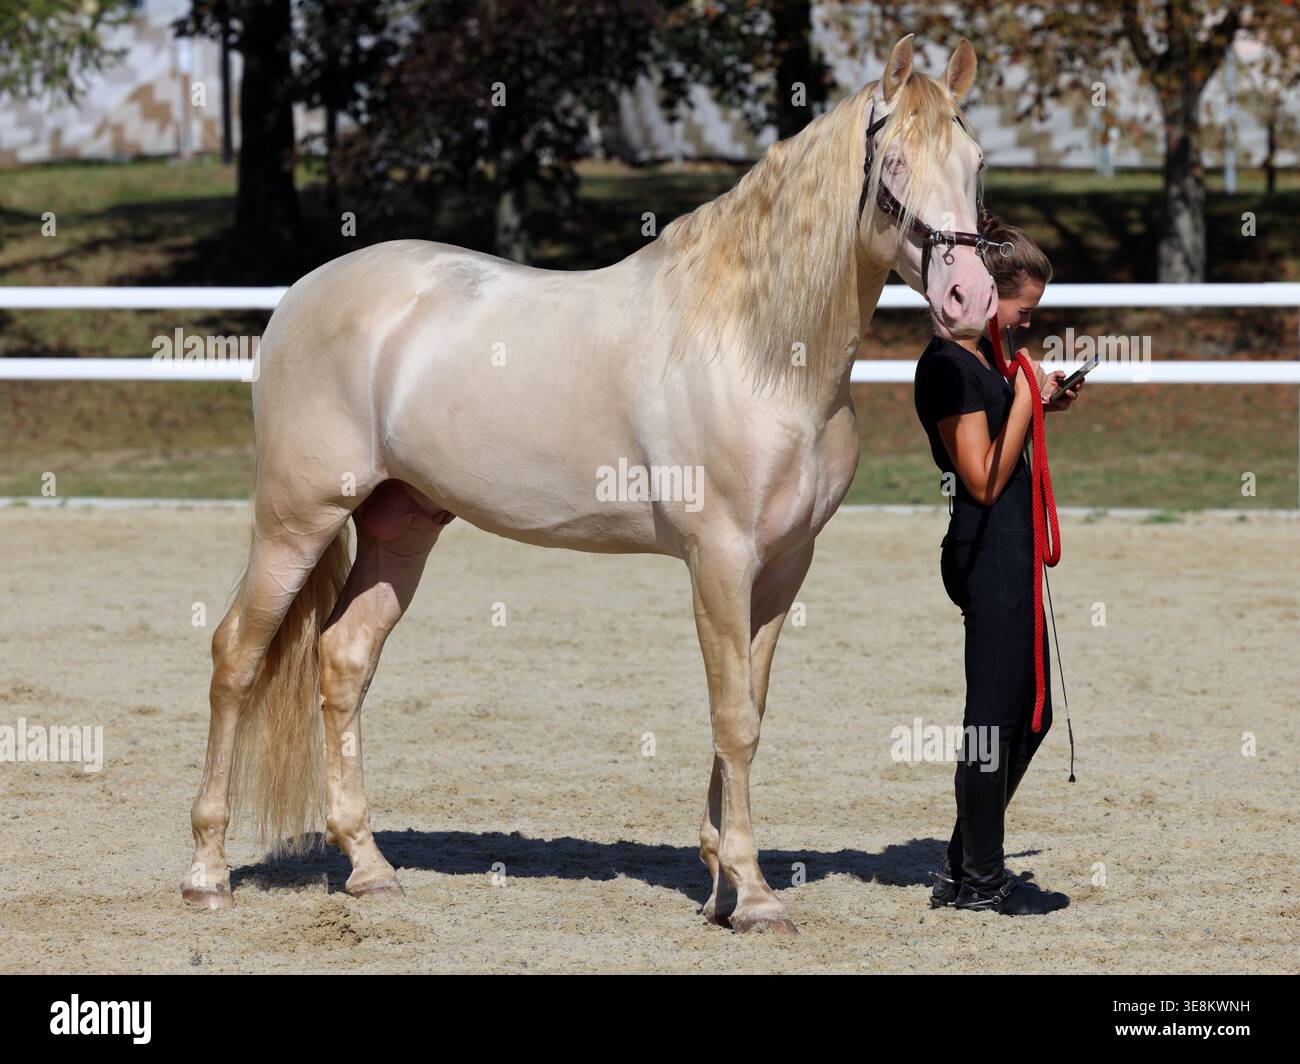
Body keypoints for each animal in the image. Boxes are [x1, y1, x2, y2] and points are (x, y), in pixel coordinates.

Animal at [181, 34, 999, 934]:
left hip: (402, 527)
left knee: (342, 660)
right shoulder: (719, 559)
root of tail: (301, 294)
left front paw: (719, 881)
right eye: (893, 162)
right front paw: (752, 895)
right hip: (297, 518)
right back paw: (207, 872)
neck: (757, 351)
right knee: (236, 658)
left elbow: (746, 709)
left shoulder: (784, 567)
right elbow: (733, 720)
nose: (971, 298)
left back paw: (369, 869)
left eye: (976, 162)